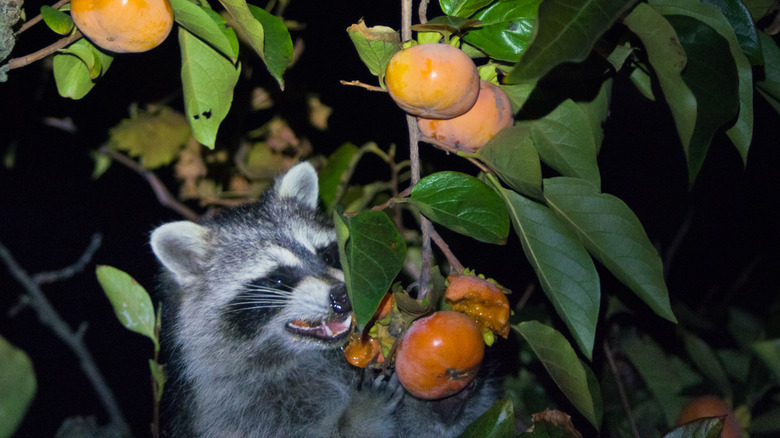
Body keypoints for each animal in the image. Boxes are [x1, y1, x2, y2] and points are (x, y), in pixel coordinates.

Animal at [152, 163, 500, 436]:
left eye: (328, 255)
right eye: (279, 280)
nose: (343, 295)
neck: (309, 357)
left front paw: (447, 403)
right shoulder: (237, 408)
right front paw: (362, 414)